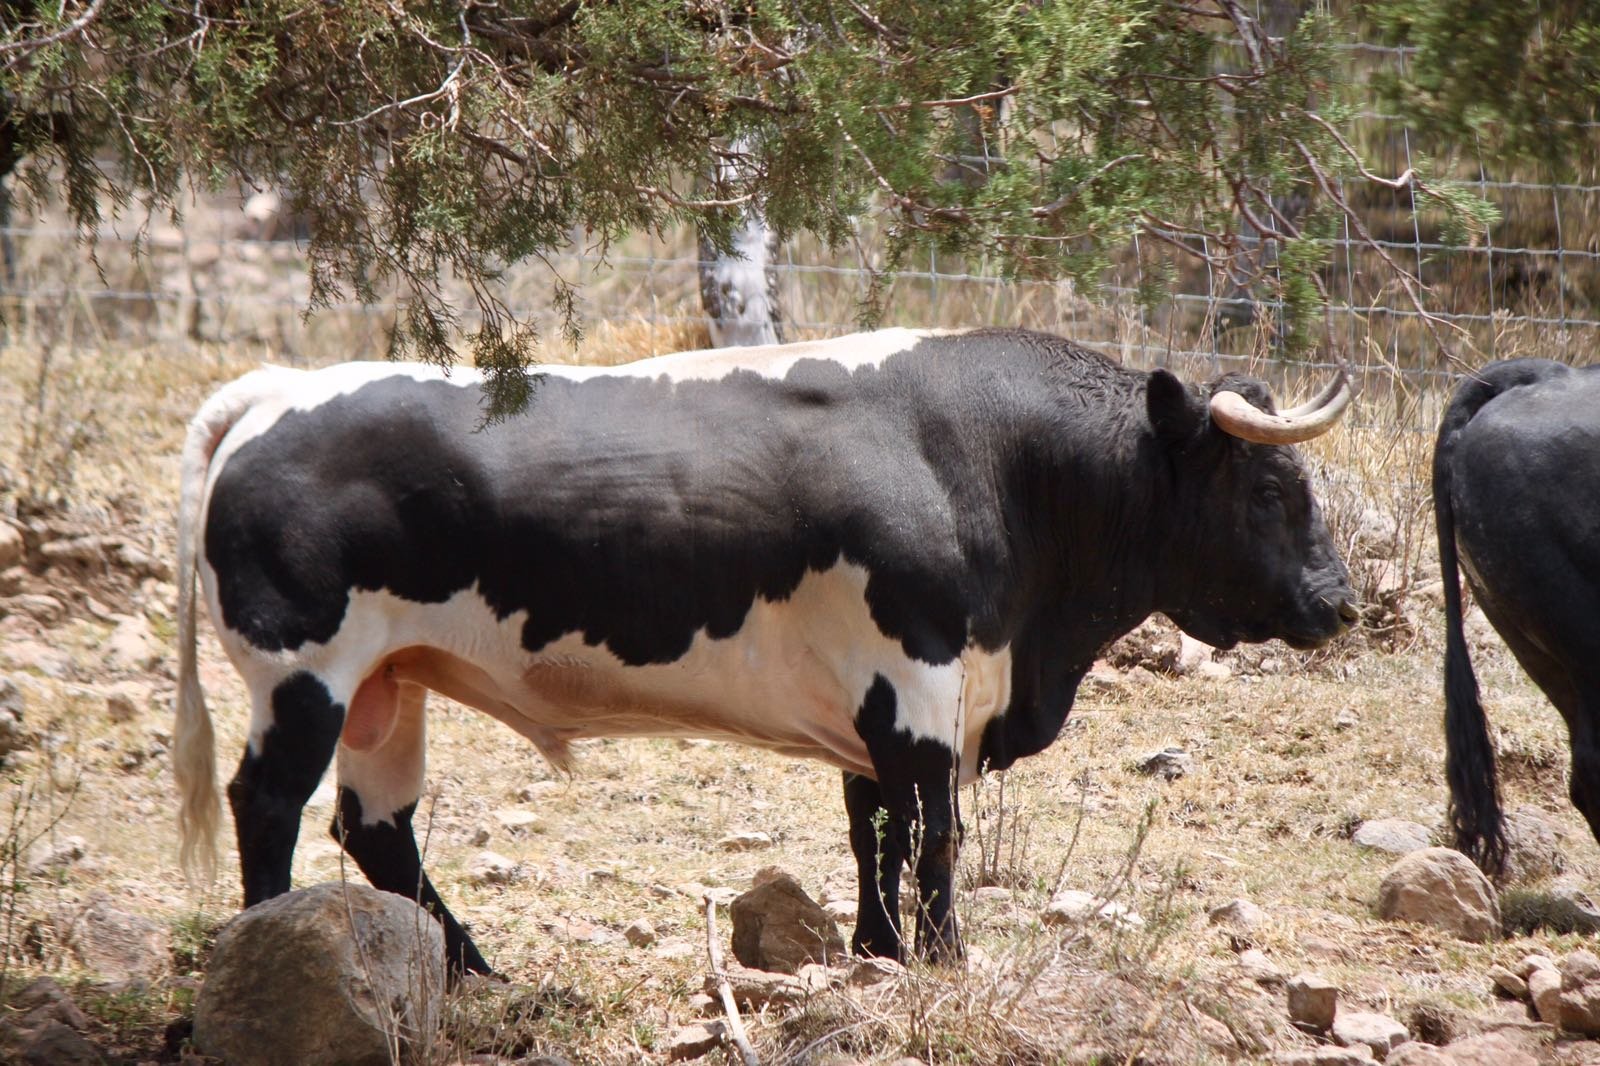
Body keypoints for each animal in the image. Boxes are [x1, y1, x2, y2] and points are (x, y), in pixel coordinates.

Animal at [174, 327, 1358, 975]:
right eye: (1268, 488)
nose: (1338, 602)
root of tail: (278, 390)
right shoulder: (920, 682)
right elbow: (934, 833)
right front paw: (944, 958)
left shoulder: (878, 700)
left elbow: (872, 827)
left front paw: (879, 951)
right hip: (304, 677)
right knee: (268, 805)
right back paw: (275, 935)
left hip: (388, 685)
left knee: (376, 828)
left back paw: (475, 971)